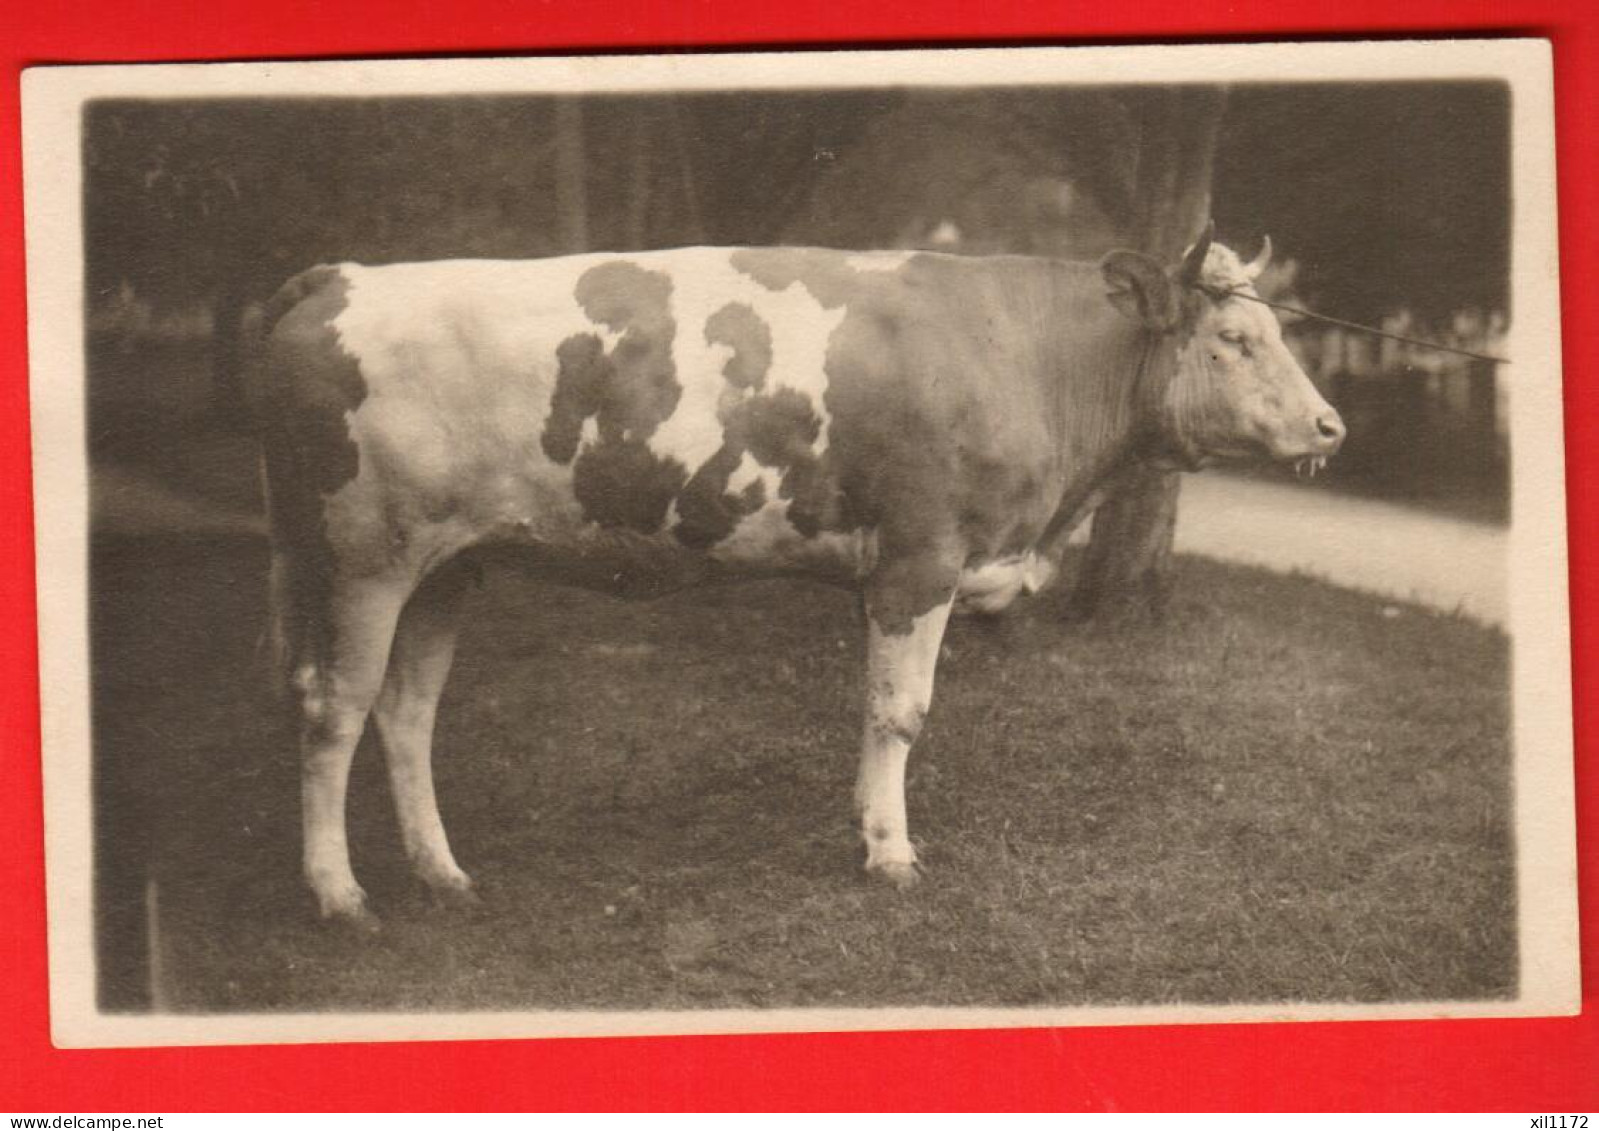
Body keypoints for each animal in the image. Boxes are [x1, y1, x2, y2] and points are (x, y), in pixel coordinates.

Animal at [249, 227, 1343, 927]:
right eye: (1234, 339)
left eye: (1281, 333)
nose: (1330, 425)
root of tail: (341, 277)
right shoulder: (922, 556)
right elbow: (903, 710)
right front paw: (894, 854)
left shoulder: (887, 570)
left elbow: (870, 707)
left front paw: (865, 829)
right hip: (364, 557)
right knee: (334, 708)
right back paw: (339, 895)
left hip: (447, 565)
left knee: (407, 713)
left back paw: (441, 874)